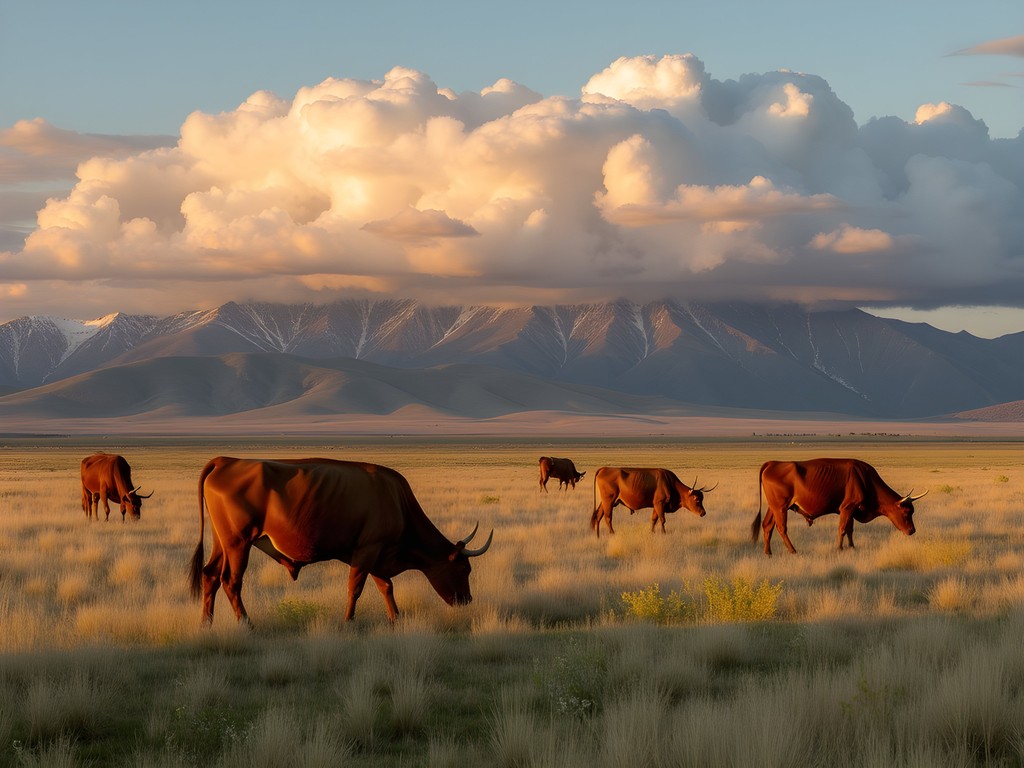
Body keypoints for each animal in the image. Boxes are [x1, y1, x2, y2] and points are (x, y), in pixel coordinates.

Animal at [189, 456, 493, 627]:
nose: (467, 600)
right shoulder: (368, 549)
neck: (398, 500)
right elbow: (356, 588)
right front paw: (348, 621)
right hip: (238, 542)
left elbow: (386, 587)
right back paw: (246, 623)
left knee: (210, 575)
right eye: (463, 569)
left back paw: (206, 623)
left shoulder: (376, 554)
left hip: (222, 542)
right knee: (231, 581)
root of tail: (226, 460)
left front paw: (395, 618)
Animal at [751, 458, 927, 556]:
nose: (912, 531)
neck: (865, 479)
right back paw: (793, 551)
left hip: (774, 507)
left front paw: (852, 547)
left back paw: (768, 553)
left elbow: (850, 529)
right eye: (906, 511)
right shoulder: (847, 508)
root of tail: (772, 463)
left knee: (767, 525)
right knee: (781, 528)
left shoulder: (852, 510)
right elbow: (842, 528)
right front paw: (839, 548)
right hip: (780, 507)